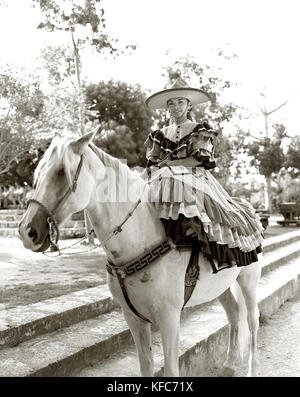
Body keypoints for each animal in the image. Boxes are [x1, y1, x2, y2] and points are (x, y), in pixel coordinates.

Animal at [18, 131, 262, 376]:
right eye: (38, 173)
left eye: (61, 172)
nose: (27, 231)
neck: (140, 237)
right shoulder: (134, 319)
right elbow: (146, 366)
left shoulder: (169, 319)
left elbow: (171, 369)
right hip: (221, 286)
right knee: (233, 313)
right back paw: (230, 364)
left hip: (249, 280)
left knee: (252, 320)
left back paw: (251, 368)